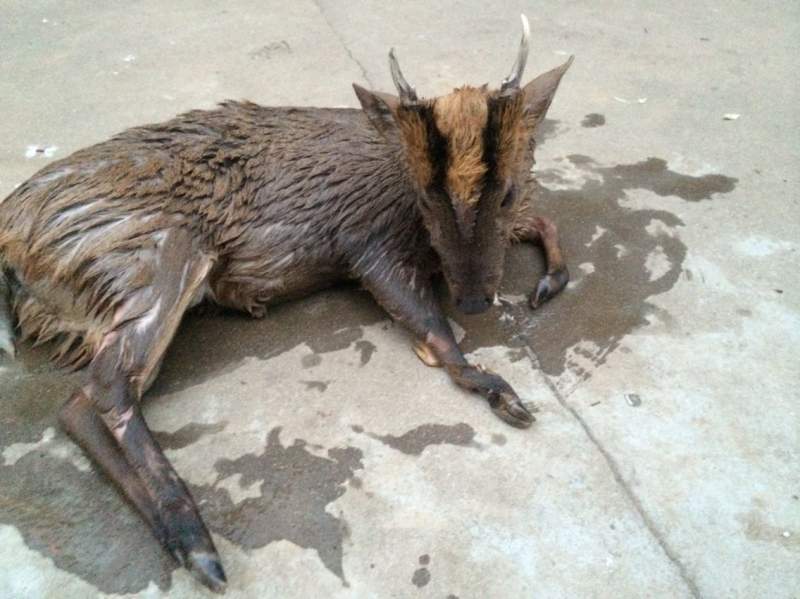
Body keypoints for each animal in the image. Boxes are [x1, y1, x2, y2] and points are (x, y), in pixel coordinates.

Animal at [0, 15, 572, 591]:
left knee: (79, 405)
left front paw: (545, 286)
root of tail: (11, 236)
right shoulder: (366, 241)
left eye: (508, 190)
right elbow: (436, 331)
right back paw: (199, 546)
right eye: (425, 196)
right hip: (152, 258)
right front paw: (502, 392)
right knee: (107, 386)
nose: (475, 301)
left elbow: (543, 221)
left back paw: (180, 541)